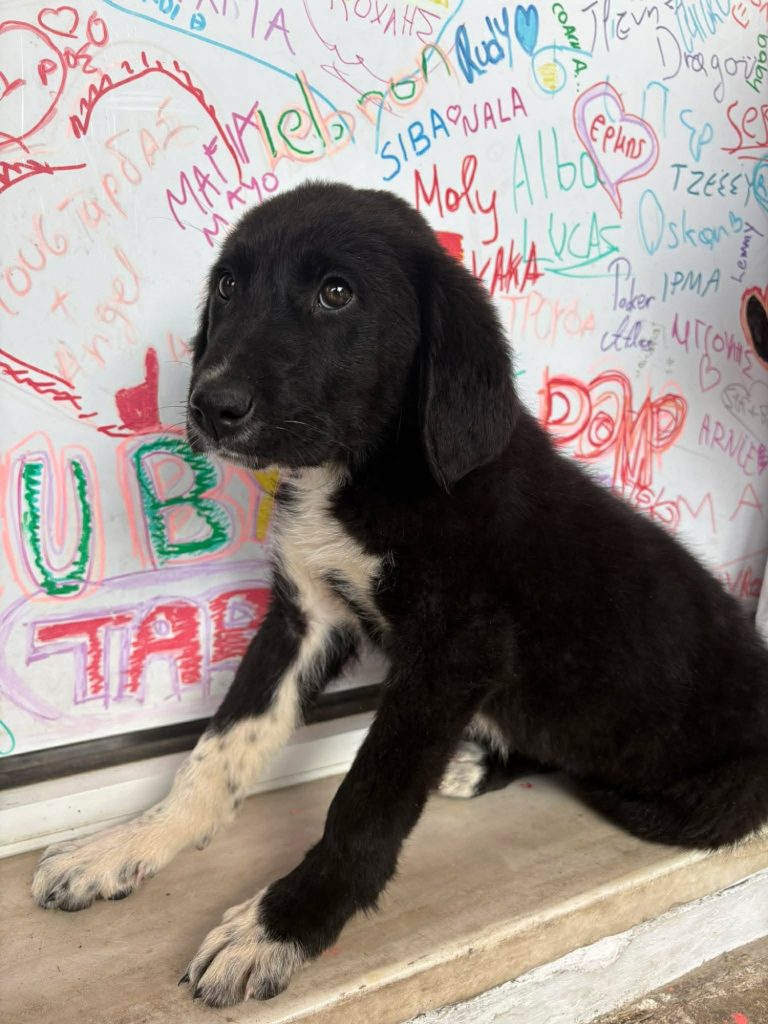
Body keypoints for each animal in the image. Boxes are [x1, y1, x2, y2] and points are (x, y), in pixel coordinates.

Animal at [32, 182, 768, 1008]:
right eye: (227, 286)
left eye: (336, 293)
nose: (209, 405)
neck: (366, 473)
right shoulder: (306, 616)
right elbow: (219, 750)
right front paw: (126, 844)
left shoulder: (453, 656)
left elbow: (366, 800)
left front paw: (283, 925)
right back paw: (472, 763)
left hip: (700, 799)